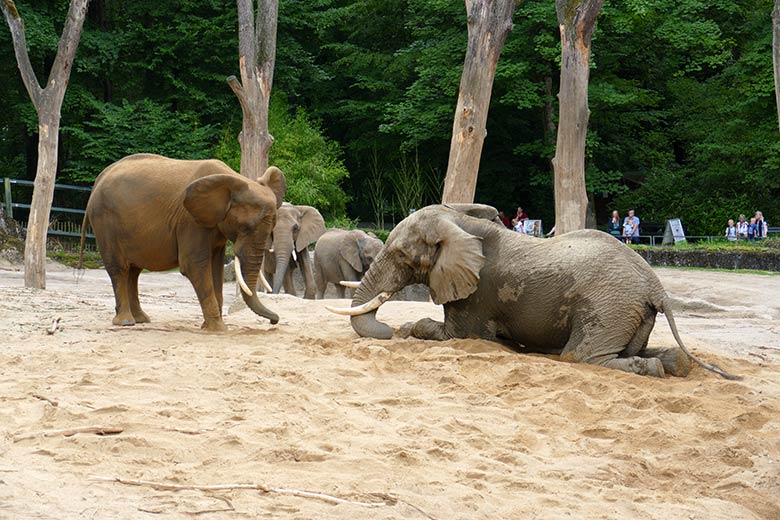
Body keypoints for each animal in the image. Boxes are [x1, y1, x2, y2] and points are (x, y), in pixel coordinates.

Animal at [80, 152, 286, 332]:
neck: (233, 180)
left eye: (274, 226)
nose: (274, 321)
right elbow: (195, 265)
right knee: (119, 268)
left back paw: (141, 319)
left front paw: (209, 326)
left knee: (134, 271)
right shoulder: (189, 221)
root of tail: (99, 179)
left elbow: (216, 268)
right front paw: (218, 329)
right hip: (105, 222)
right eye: (245, 228)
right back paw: (125, 322)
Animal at [326, 202, 740, 378]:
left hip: (608, 305)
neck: (459, 223)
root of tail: (657, 285)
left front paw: (409, 329)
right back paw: (672, 364)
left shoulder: (478, 290)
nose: (386, 330)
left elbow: (455, 335)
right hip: (631, 312)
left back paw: (649, 368)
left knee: (580, 356)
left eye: (400, 254)